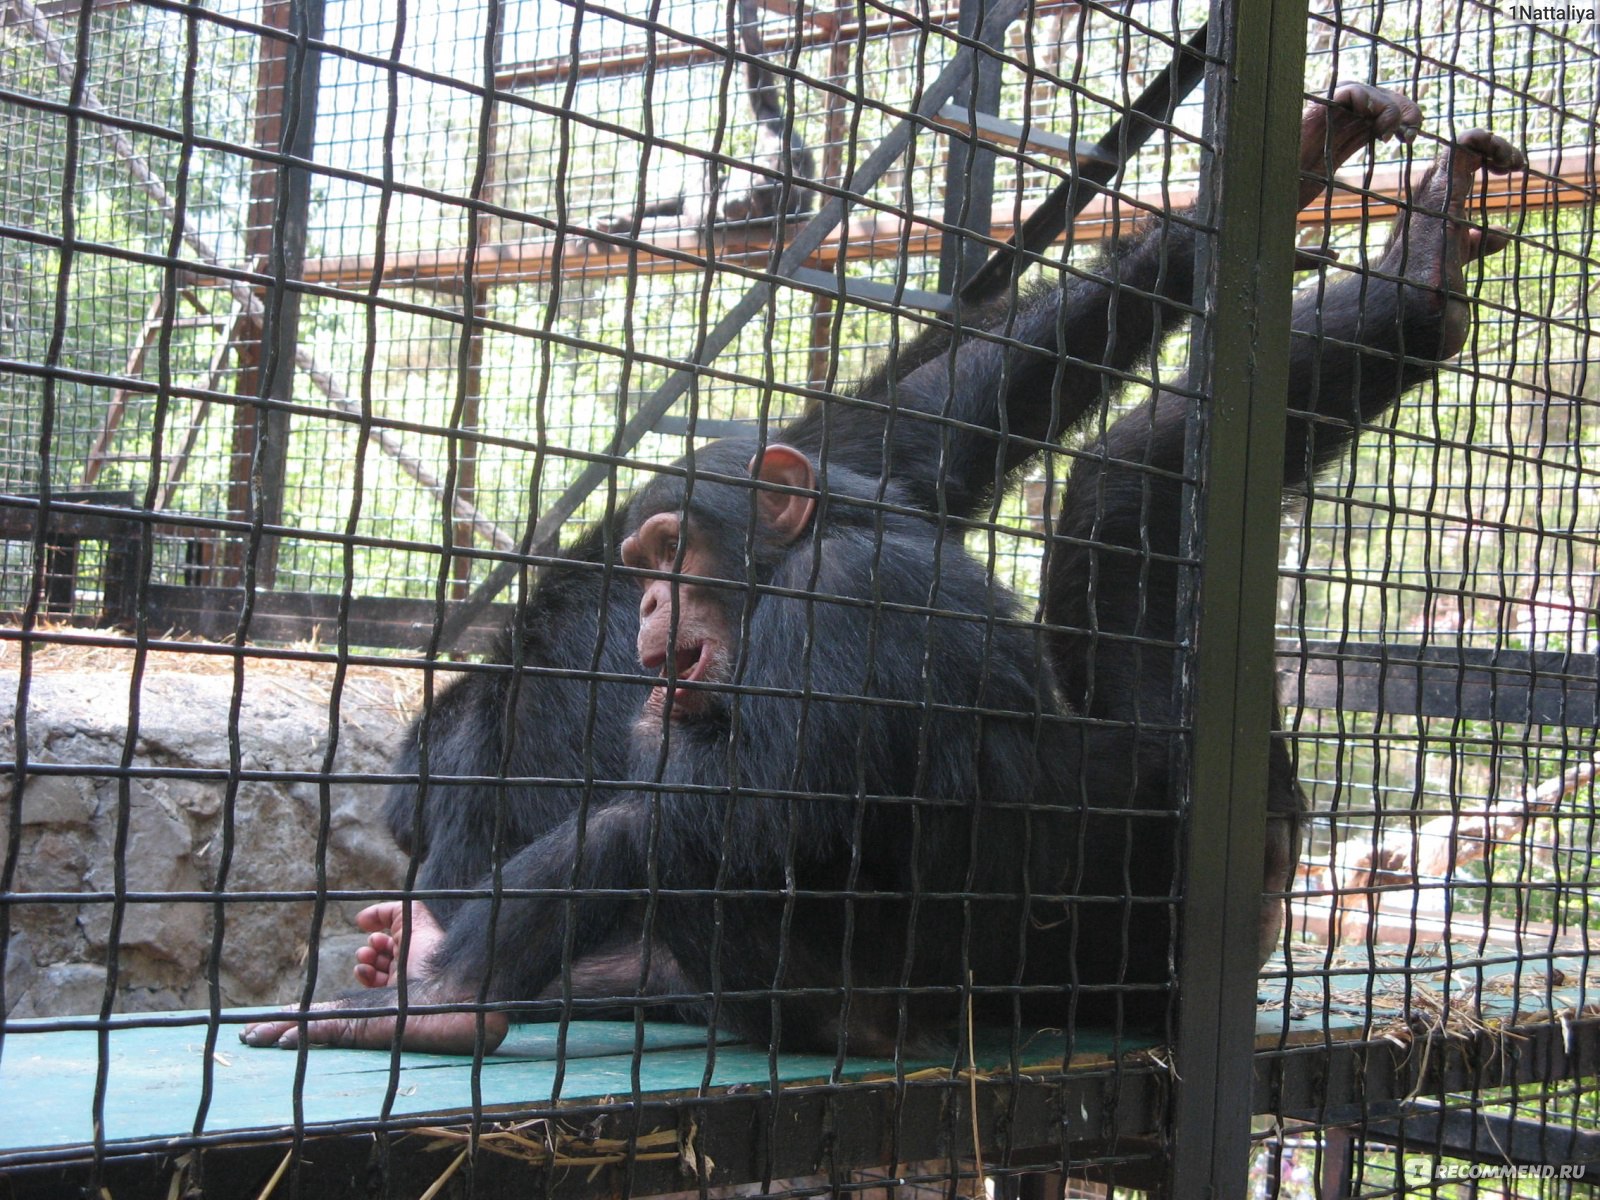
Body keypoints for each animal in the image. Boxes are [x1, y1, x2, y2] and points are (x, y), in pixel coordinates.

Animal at [240, 89, 1523, 1056]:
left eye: (671, 562)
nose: (653, 598)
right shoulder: (812, 490)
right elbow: (949, 410)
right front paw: (1268, 180)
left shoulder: (806, 615)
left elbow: (729, 818)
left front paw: (435, 973)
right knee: (1126, 479)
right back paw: (1411, 290)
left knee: (688, 829)